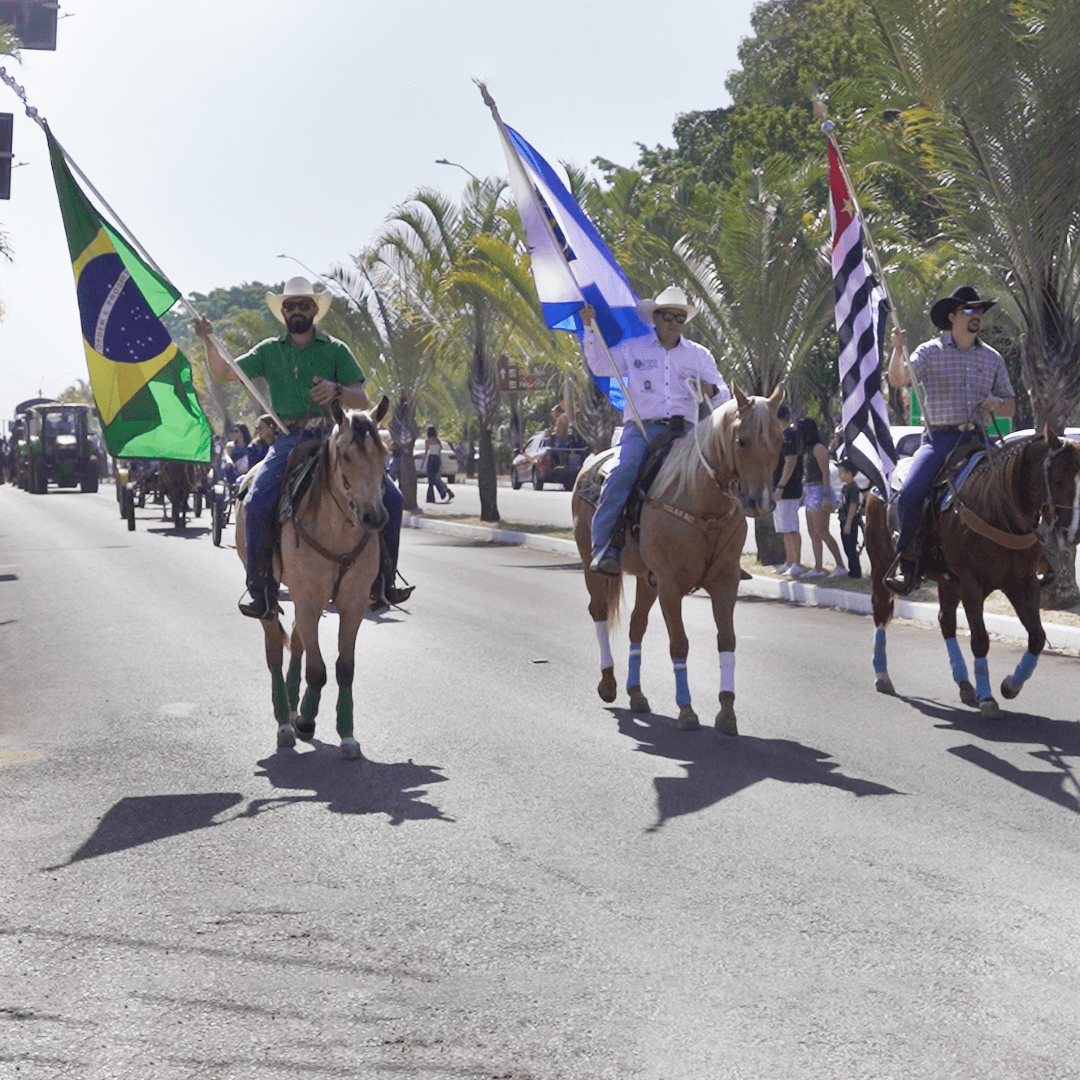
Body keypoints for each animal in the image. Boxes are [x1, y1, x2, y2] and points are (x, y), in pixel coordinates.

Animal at [238, 397, 390, 760]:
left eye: (384, 452)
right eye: (346, 455)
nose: (375, 517)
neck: (337, 528)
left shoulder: (352, 602)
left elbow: (343, 668)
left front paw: (347, 735)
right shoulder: (307, 597)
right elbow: (318, 670)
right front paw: (307, 721)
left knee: (296, 641)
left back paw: (292, 706)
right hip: (270, 595)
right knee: (275, 650)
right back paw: (284, 721)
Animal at [574, 386, 786, 734]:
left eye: (780, 439)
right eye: (742, 441)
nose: (762, 502)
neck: (701, 503)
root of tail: (592, 460)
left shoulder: (725, 582)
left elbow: (727, 640)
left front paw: (727, 712)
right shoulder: (670, 586)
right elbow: (679, 644)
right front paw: (686, 711)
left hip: (647, 579)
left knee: (636, 626)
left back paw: (636, 693)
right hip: (591, 564)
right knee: (599, 612)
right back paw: (608, 684)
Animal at [864, 427, 1080, 717]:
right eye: (1058, 481)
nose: (1073, 534)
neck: (998, 510)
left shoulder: (1022, 583)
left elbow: (1037, 637)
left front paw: (1010, 685)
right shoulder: (971, 584)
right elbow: (980, 639)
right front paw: (987, 697)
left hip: (947, 581)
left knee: (945, 621)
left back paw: (965, 683)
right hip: (881, 566)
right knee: (881, 612)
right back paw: (882, 675)